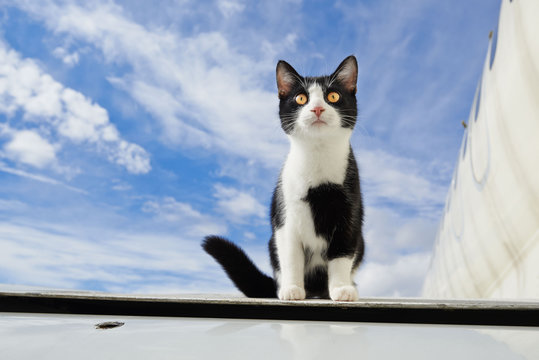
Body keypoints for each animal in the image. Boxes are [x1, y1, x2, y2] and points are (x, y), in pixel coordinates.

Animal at [204, 55, 368, 300]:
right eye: (301, 98)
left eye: (333, 96)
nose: (317, 108)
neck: (317, 157)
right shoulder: (285, 216)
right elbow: (291, 256)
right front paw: (292, 289)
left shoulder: (349, 213)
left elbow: (342, 254)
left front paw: (340, 288)